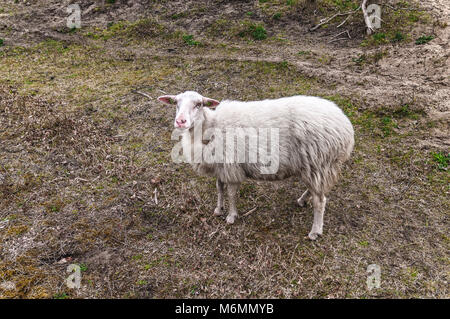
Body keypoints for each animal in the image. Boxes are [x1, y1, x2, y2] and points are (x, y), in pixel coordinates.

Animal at [159, 90, 356, 240]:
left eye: (199, 104)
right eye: (176, 103)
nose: (180, 121)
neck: (210, 127)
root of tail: (346, 127)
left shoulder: (231, 167)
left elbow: (231, 193)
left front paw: (231, 216)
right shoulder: (220, 166)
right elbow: (219, 188)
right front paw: (218, 209)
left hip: (319, 163)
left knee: (320, 201)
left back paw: (315, 231)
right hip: (313, 167)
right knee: (316, 191)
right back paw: (302, 200)